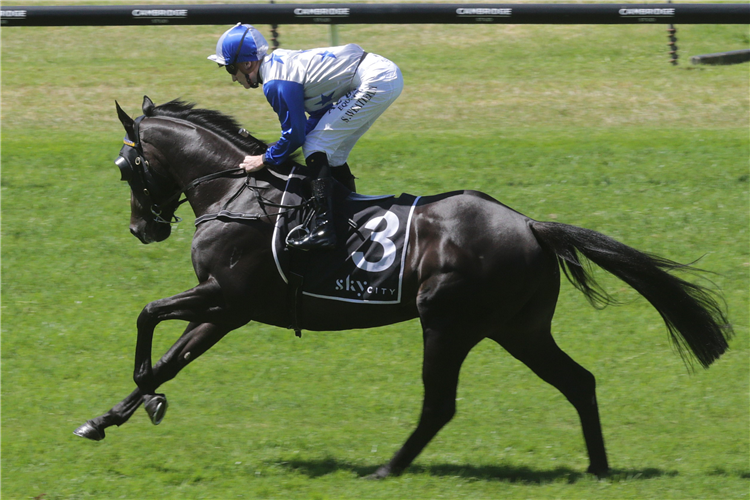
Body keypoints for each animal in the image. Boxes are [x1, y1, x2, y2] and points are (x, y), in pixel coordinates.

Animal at [73, 95, 732, 478]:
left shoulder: (229, 297)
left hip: (448, 321)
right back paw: (598, 469)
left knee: (441, 403)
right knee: (579, 381)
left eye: (126, 168)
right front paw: (106, 418)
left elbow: (147, 316)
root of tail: (530, 226)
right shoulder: (227, 310)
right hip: (518, 328)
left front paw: (142, 393)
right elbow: (170, 358)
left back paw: (386, 470)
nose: (141, 229)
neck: (235, 192)